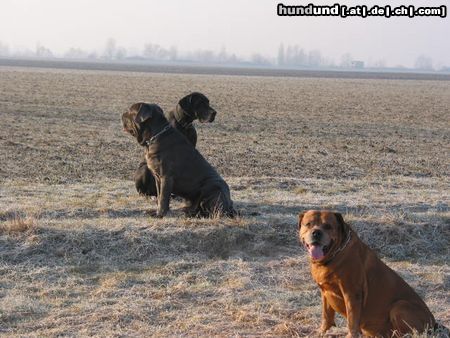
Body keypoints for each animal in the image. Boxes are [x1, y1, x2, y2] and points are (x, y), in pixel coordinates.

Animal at [298, 210, 438, 336]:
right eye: (308, 224)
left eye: (328, 226)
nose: (316, 233)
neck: (332, 256)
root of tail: (434, 323)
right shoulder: (325, 292)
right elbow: (326, 315)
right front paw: (321, 332)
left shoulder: (352, 293)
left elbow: (352, 320)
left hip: (399, 306)